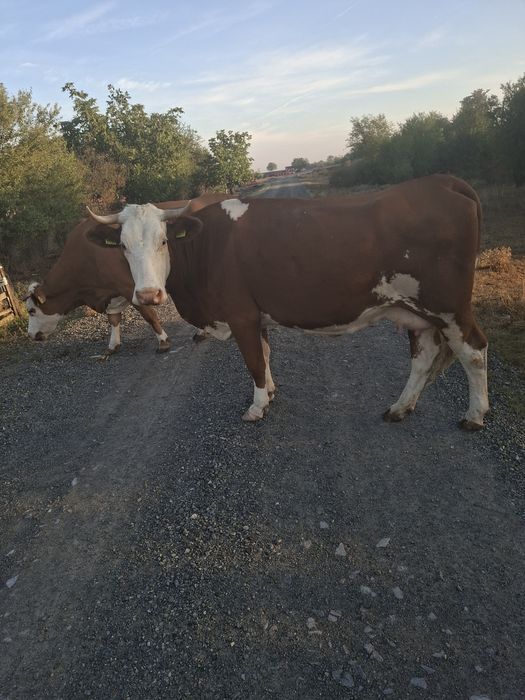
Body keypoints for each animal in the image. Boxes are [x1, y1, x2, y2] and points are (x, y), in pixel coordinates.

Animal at [86, 175, 489, 429]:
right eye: (123, 247)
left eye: (164, 241)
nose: (149, 295)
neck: (204, 248)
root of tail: (441, 181)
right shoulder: (257, 315)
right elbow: (265, 356)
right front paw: (270, 392)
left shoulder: (241, 315)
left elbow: (253, 361)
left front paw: (257, 407)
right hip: (417, 310)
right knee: (423, 357)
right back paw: (400, 408)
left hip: (449, 307)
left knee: (474, 351)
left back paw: (474, 416)